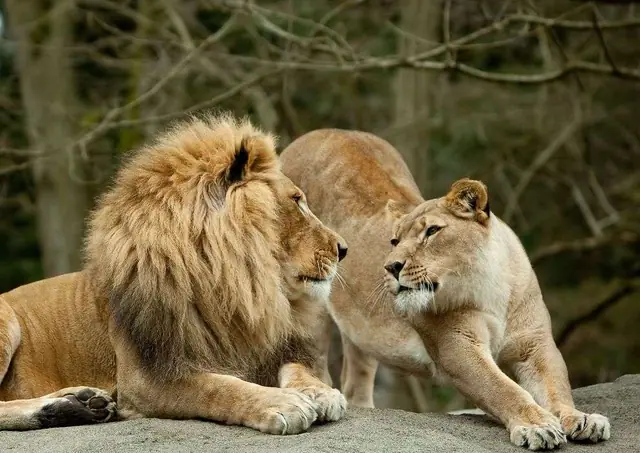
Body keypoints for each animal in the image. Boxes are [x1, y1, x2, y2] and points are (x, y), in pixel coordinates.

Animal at [0, 115, 348, 434]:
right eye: (297, 201)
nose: (343, 249)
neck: (232, 285)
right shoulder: (147, 379)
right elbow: (219, 387)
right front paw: (281, 402)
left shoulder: (268, 346)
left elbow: (297, 366)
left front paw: (321, 392)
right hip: (7, 322)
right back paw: (64, 409)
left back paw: (83, 402)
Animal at [280, 129, 610, 450]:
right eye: (395, 241)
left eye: (432, 231)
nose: (391, 266)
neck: (490, 288)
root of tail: (312, 135)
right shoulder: (457, 347)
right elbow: (504, 389)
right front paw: (537, 425)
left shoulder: (535, 344)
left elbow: (557, 388)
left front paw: (579, 418)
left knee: (354, 382)